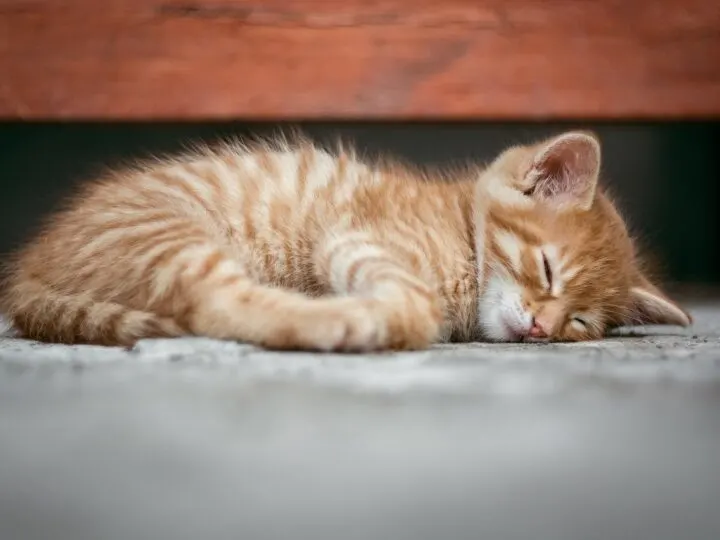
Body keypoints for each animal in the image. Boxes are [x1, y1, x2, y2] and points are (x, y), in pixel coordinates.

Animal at [0, 130, 692, 350]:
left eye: (580, 321)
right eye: (547, 269)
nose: (544, 328)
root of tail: (32, 265)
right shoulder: (354, 238)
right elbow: (414, 302)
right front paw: (394, 315)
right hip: (175, 238)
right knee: (218, 304)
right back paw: (336, 321)